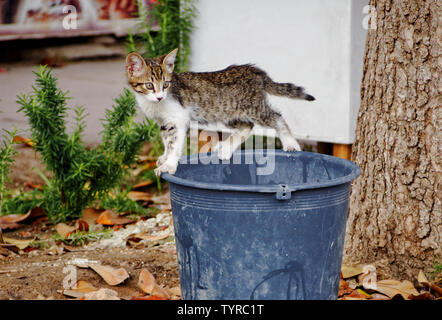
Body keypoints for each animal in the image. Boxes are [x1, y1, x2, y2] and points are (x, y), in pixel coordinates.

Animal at [126, 48, 316, 176]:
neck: (155, 104)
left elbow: (174, 143)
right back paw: (226, 149)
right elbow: (167, 140)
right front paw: (165, 157)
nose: (159, 96)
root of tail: (255, 72)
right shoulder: (163, 122)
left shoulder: (178, 119)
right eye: (149, 85)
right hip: (227, 111)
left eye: (165, 84)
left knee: (276, 118)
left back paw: (290, 144)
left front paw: (169, 165)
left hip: (254, 108)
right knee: (247, 126)